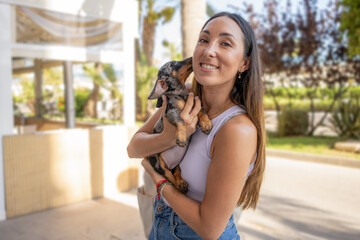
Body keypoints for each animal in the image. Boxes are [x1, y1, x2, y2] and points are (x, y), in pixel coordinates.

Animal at [148, 56, 212, 193]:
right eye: (173, 64)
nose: (192, 57)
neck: (181, 94)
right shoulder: (171, 112)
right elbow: (181, 121)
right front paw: (181, 136)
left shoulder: (195, 104)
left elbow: (202, 112)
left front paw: (206, 123)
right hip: (158, 164)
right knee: (169, 177)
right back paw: (178, 186)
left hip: (177, 164)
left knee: (176, 172)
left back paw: (181, 182)